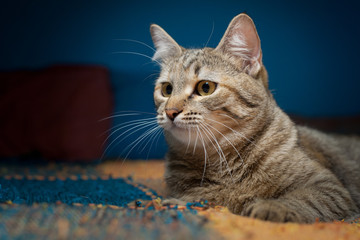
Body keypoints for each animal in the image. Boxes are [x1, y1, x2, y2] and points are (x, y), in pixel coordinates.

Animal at [149, 13, 360, 223]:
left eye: (205, 87)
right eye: (167, 89)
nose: (170, 111)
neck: (223, 161)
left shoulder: (328, 187)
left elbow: (302, 198)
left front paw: (272, 207)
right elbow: (206, 197)